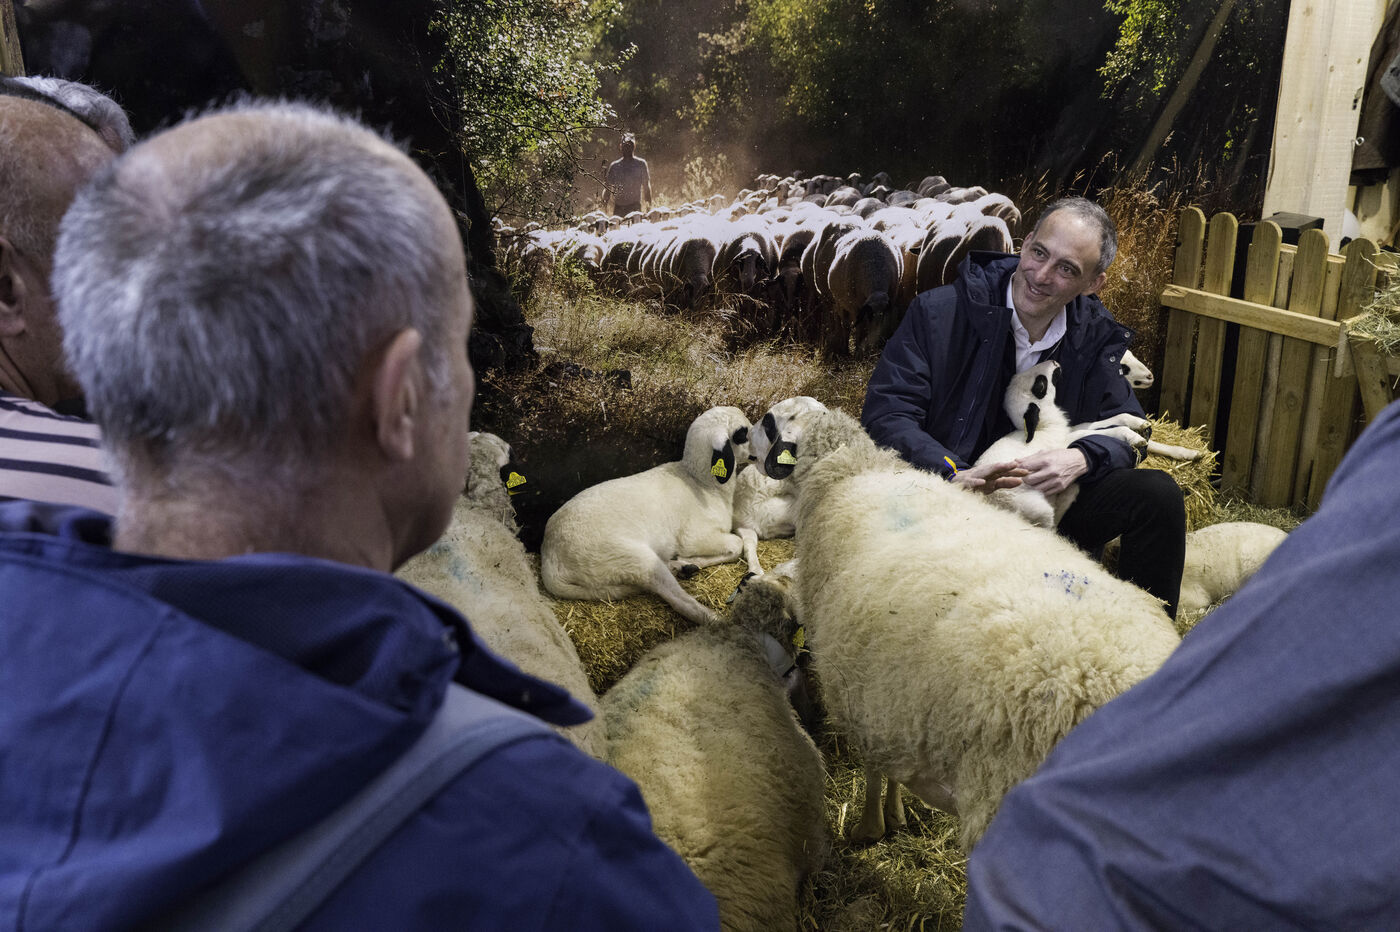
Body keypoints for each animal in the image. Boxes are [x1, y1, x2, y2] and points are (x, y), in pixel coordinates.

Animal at [540, 405, 757, 625]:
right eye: (742, 434)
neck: (701, 483)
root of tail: (550, 559)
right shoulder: (693, 537)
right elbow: (736, 545)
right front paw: (689, 561)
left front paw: (686, 563)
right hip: (632, 559)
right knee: (679, 600)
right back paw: (717, 620)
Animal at [751, 402, 1179, 851]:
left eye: (768, 422)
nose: (744, 442)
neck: (850, 467)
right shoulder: (889, 697)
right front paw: (895, 814)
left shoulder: (858, 691)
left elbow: (873, 770)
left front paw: (871, 826)